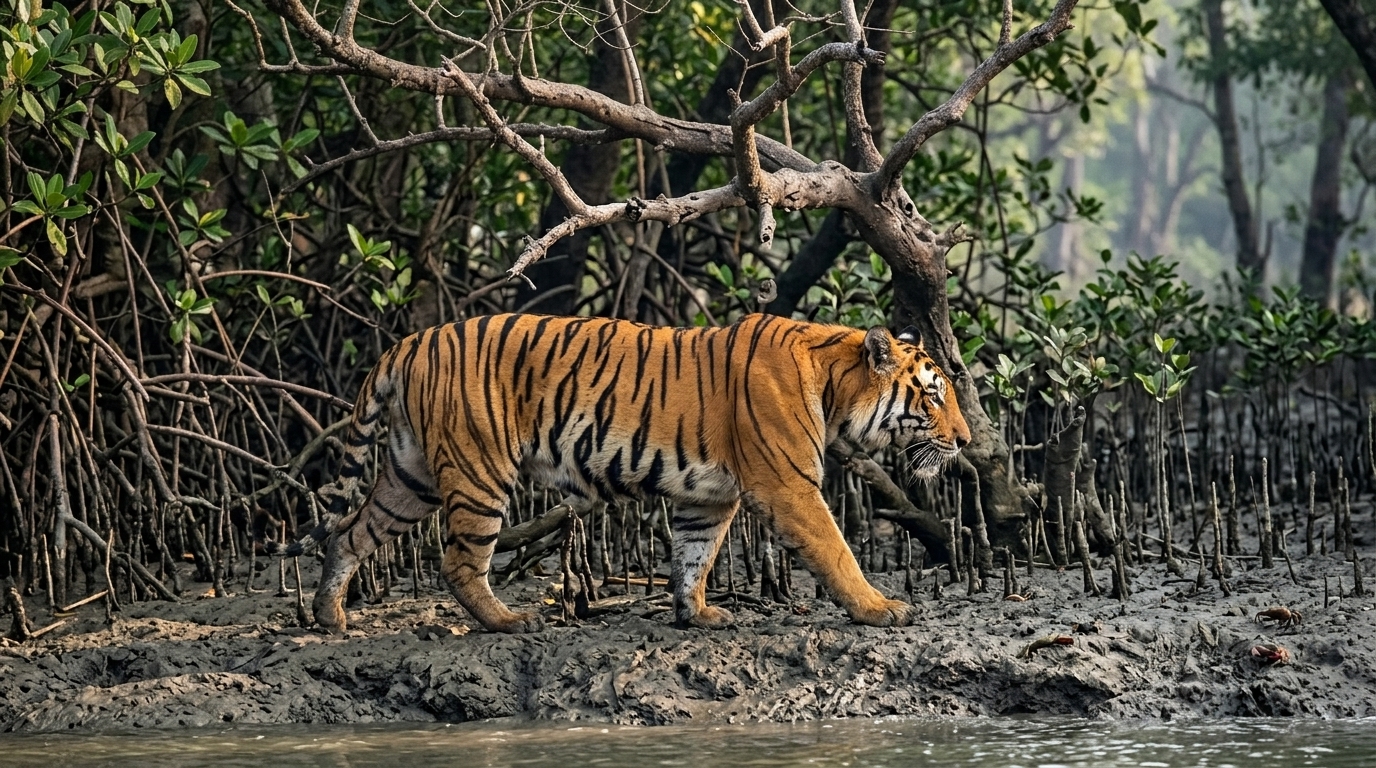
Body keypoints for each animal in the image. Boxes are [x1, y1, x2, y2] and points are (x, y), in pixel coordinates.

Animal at [296, 312, 970, 634]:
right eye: (934, 396)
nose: (964, 441)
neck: (833, 385)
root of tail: (408, 343)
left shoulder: (710, 498)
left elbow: (695, 555)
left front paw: (696, 614)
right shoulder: (788, 487)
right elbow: (836, 550)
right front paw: (880, 609)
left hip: (410, 478)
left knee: (350, 533)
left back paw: (331, 616)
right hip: (479, 471)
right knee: (458, 562)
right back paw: (508, 621)